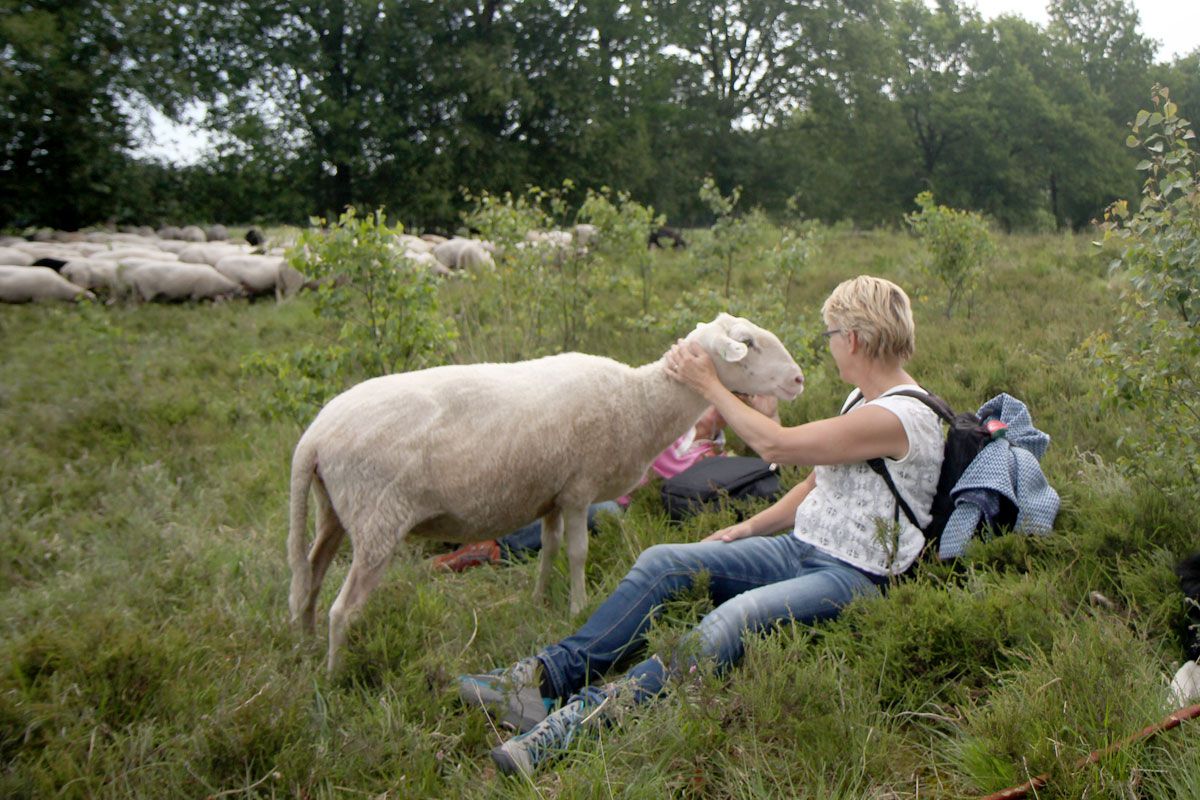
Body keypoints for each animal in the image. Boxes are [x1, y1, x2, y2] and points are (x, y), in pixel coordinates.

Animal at [284, 311, 801, 671]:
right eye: (748, 344)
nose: (798, 379)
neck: (638, 401)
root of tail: (314, 437)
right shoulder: (577, 489)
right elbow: (577, 552)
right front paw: (577, 605)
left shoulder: (551, 492)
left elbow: (549, 547)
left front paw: (538, 600)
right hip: (378, 517)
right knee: (342, 610)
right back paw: (334, 675)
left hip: (335, 510)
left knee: (308, 578)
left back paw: (304, 647)